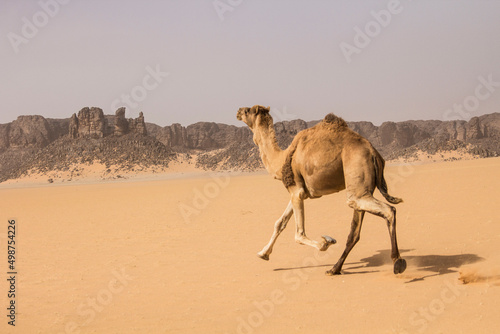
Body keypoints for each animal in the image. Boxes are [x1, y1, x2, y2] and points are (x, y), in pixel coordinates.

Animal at [235, 105, 406, 276]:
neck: (281, 159)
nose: (238, 111)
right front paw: (263, 253)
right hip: (362, 189)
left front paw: (326, 242)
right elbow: (280, 223)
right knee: (355, 232)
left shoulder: (296, 191)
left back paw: (398, 262)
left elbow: (299, 234)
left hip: (357, 176)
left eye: (248, 111)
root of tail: (374, 153)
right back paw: (334, 269)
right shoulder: (299, 192)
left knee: (389, 210)